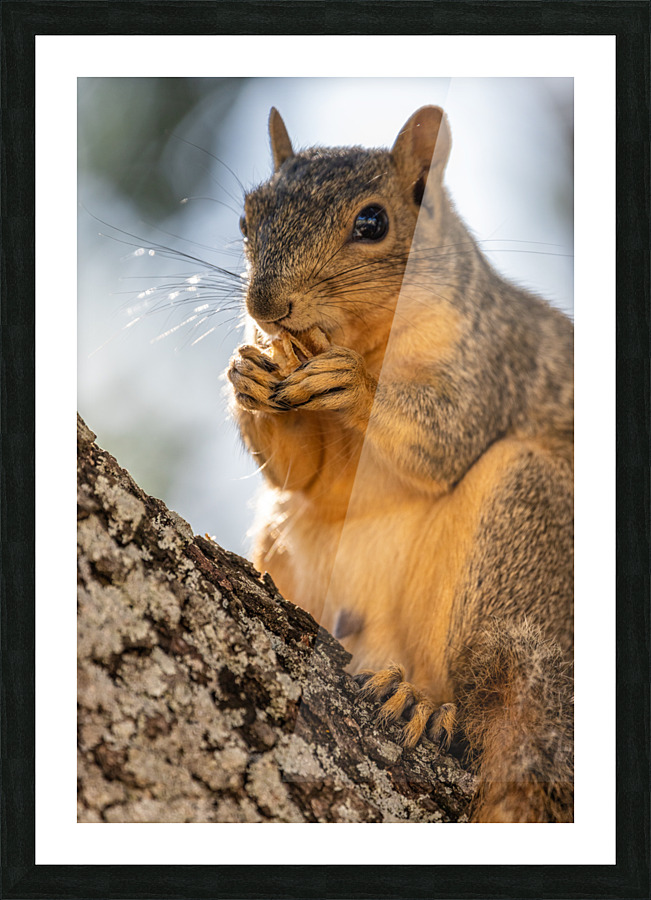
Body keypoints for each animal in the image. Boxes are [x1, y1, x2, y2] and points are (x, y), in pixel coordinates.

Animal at [227, 106, 574, 823]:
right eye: (247, 219)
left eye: (372, 223)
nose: (265, 307)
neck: (361, 336)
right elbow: (296, 472)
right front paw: (247, 375)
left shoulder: (488, 357)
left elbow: (446, 437)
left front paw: (352, 384)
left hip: (526, 539)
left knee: (491, 702)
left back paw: (428, 702)